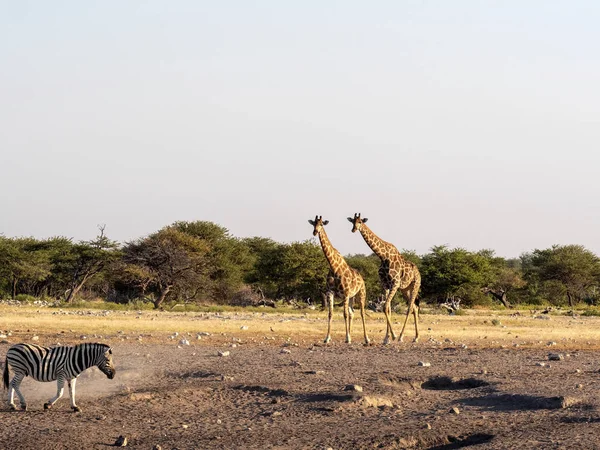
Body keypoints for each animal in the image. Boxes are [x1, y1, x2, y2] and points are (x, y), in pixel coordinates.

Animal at [310, 215, 370, 344]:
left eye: (321, 224)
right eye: (313, 224)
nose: (315, 232)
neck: (334, 266)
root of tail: (362, 278)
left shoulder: (345, 293)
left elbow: (344, 314)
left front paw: (347, 338)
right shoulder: (330, 293)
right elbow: (330, 314)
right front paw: (327, 338)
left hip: (361, 293)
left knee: (361, 313)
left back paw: (366, 338)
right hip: (352, 297)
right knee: (352, 313)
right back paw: (351, 335)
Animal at [346, 213, 422, 342]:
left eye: (360, 221)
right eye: (352, 222)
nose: (354, 229)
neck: (383, 256)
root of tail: (418, 272)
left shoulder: (395, 283)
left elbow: (385, 306)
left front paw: (393, 336)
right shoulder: (385, 284)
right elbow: (388, 308)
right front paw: (386, 338)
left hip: (415, 285)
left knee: (410, 307)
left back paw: (401, 336)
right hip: (405, 289)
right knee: (415, 308)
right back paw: (416, 337)